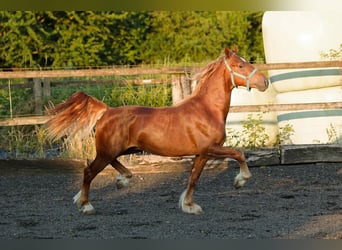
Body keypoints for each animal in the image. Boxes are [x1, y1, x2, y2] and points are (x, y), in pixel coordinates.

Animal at [46, 47, 270, 215]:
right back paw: (86, 205)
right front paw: (240, 181)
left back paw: (122, 180)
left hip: (122, 149)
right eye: (240, 65)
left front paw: (189, 205)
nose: (265, 82)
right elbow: (238, 154)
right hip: (107, 151)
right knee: (89, 171)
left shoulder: (201, 154)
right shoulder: (209, 149)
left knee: (110, 164)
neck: (206, 109)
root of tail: (107, 111)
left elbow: (193, 179)